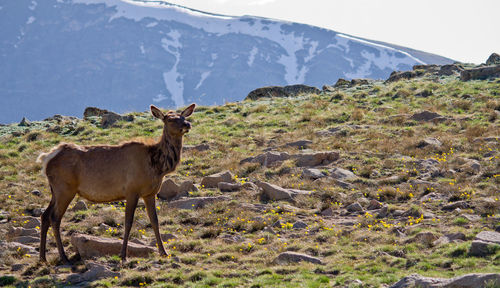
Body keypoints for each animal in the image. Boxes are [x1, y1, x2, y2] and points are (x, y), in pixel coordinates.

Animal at [35, 104, 194, 264]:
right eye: (169, 119)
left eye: (183, 116)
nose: (187, 124)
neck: (158, 166)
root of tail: (47, 159)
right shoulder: (132, 191)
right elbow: (128, 222)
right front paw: (123, 255)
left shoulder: (150, 193)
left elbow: (155, 221)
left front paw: (164, 252)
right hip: (65, 189)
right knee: (55, 218)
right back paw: (63, 257)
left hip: (55, 191)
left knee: (45, 215)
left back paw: (43, 257)